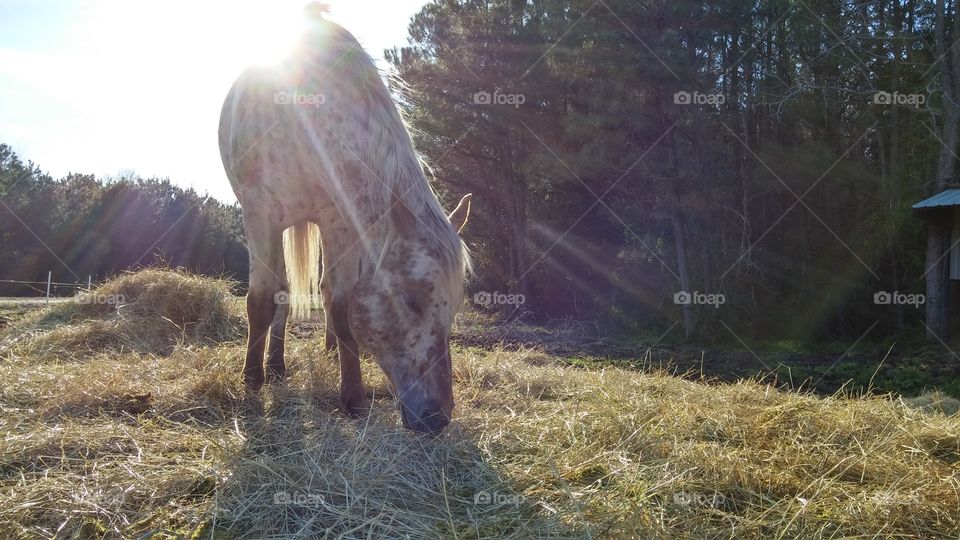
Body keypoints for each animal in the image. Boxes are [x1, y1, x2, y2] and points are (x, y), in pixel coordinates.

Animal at [217, 7, 472, 434]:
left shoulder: (337, 217)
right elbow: (262, 300)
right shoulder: (260, 214)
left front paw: (352, 395)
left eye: (453, 306)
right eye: (412, 298)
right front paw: (252, 380)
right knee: (282, 291)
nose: (437, 417)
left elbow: (339, 303)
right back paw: (274, 366)